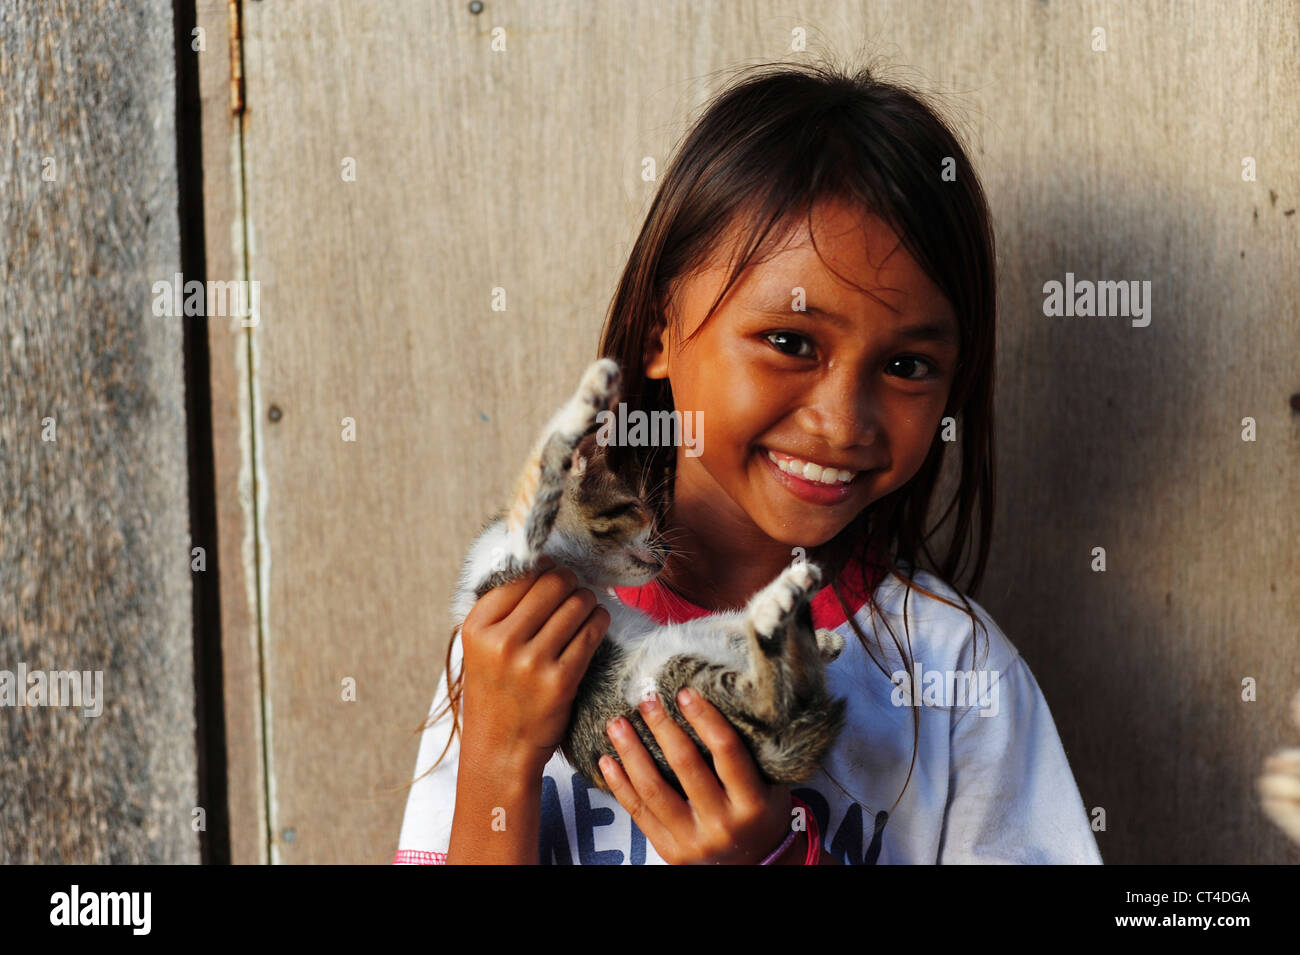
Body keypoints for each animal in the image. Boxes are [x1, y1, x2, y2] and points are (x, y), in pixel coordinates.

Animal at [452, 358, 847, 800]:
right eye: (638, 509)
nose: (668, 547)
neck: (578, 569)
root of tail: (771, 759)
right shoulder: (518, 556)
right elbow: (547, 460)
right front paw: (589, 395)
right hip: (683, 690)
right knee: (768, 698)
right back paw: (783, 606)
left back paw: (795, 615)